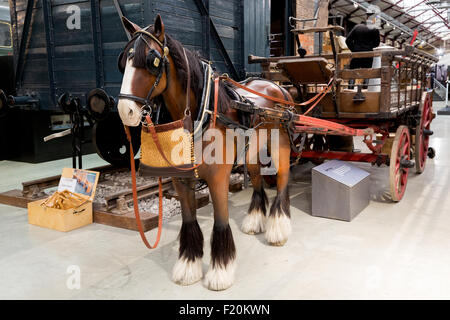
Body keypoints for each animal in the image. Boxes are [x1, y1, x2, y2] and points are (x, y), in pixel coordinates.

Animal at [116, 14, 292, 290]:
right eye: (123, 62)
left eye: (152, 60)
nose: (126, 111)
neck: (204, 113)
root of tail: (276, 86)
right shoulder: (181, 179)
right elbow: (189, 222)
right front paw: (189, 267)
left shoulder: (218, 178)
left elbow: (220, 222)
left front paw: (220, 272)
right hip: (252, 150)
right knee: (257, 181)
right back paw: (255, 220)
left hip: (279, 145)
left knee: (283, 180)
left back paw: (278, 228)